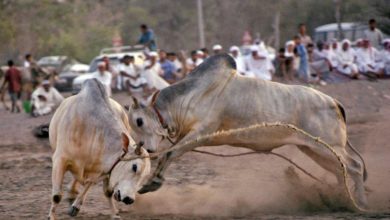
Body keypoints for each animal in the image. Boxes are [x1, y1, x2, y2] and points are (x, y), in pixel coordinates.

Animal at [48, 79, 151, 220]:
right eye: (134, 167)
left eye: (145, 176)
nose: (129, 199)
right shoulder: (60, 160)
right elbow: (57, 195)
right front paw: (52, 216)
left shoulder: (104, 169)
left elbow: (106, 191)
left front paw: (114, 214)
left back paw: (74, 201)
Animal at [127, 54, 368, 211]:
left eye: (139, 121)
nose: (147, 149)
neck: (188, 96)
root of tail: (334, 102)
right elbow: (169, 155)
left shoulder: (200, 134)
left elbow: (170, 153)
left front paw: (152, 183)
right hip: (313, 148)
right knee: (340, 170)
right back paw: (342, 199)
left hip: (328, 146)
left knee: (354, 166)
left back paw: (359, 204)